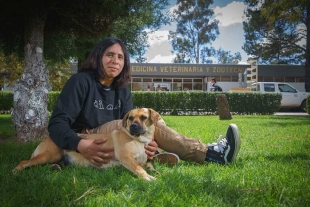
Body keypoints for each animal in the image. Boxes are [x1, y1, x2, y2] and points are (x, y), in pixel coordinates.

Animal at [12, 107, 165, 180]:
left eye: (143, 117)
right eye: (130, 118)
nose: (133, 125)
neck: (139, 140)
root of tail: (48, 138)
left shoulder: (140, 160)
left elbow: (149, 165)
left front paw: (156, 171)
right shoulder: (127, 158)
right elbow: (140, 169)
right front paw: (148, 178)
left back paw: (54, 167)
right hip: (49, 155)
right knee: (24, 162)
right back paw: (15, 172)